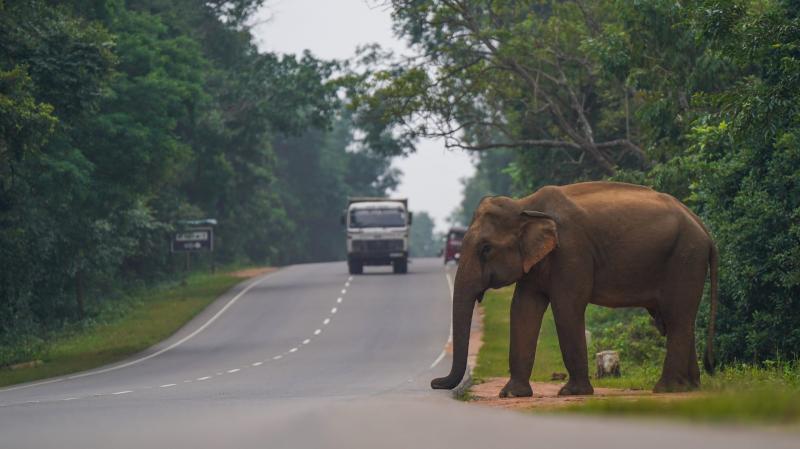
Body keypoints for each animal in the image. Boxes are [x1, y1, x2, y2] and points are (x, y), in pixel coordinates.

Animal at [432, 180, 720, 394]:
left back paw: (666, 389)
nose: (435, 383)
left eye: (486, 249)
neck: (525, 205)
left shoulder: (572, 252)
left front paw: (572, 392)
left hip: (685, 257)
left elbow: (567, 308)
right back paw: (689, 387)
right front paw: (512, 393)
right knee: (675, 320)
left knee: (677, 316)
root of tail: (704, 229)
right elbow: (523, 309)